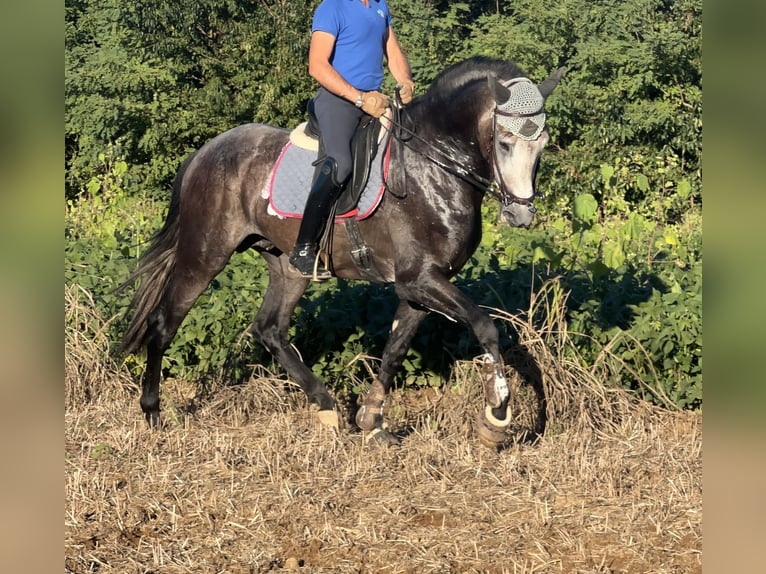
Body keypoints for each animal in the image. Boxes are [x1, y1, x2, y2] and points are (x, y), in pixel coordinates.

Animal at [119, 56, 565, 447]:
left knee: (270, 329)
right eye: (505, 142)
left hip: (288, 267)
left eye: (542, 143)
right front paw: (496, 416)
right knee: (165, 323)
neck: (434, 168)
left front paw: (371, 420)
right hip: (205, 254)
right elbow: (485, 325)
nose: (521, 213)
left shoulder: (419, 288)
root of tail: (204, 153)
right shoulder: (420, 279)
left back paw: (326, 405)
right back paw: (153, 412)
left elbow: (394, 350)